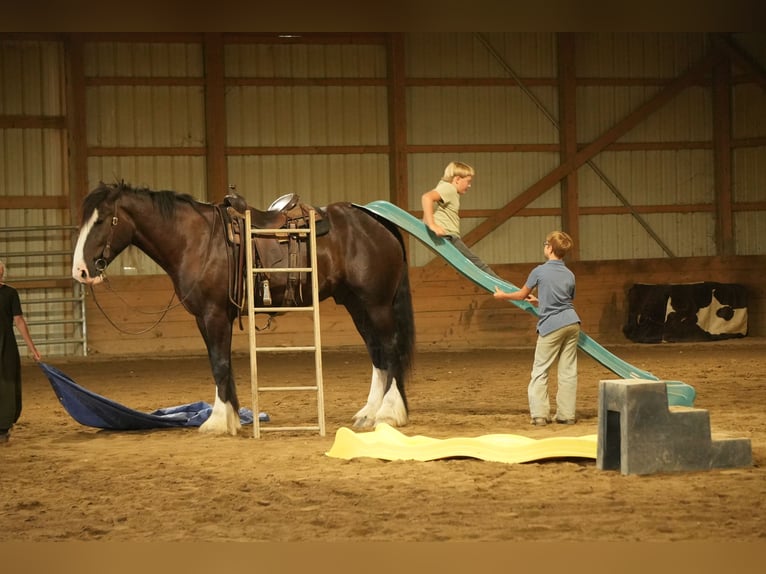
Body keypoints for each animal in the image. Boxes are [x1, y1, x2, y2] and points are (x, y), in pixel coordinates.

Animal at [71, 182, 415, 436]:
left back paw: (389, 413)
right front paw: (230, 417)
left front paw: (217, 421)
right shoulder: (206, 318)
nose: (81, 271)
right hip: (357, 305)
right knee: (377, 354)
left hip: (377, 304)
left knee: (390, 349)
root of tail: (374, 219)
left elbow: (220, 363)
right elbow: (219, 364)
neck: (196, 240)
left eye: (101, 219)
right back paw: (369, 413)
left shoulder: (213, 315)